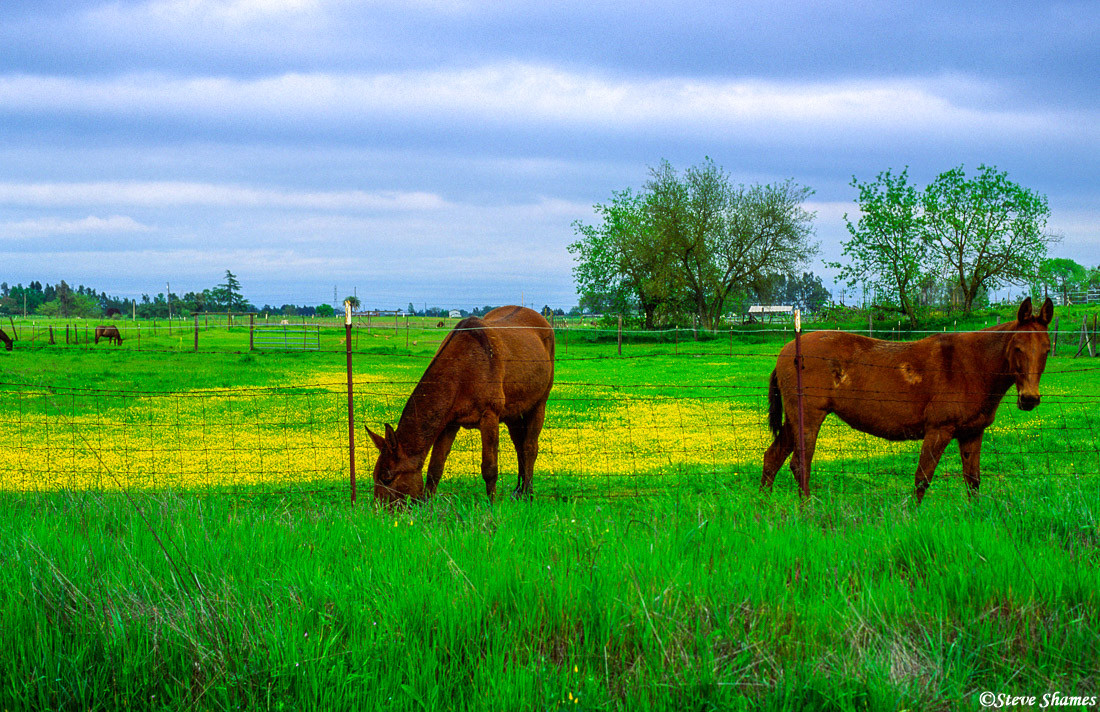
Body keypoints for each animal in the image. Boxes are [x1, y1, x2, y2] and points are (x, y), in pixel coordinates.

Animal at [367, 303, 554, 504]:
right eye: (375, 476)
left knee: (529, 447)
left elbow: (490, 468)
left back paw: (528, 493)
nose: (379, 510)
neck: (463, 369)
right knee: (519, 446)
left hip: (539, 404)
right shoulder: (450, 422)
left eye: (387, 478)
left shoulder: (490, 416)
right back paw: (518, 491)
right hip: (513, 413)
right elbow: (435, 468)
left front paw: (492, 505)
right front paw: (427, 506)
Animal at [765, 297, 1056, 504]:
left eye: (1046, 349)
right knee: (800, 464)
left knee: (772, 458)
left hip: (795, 421)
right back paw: (807, 510)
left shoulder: (971, 433)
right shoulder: (939, 430)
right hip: (808, 419)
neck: (971, 366)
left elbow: (972, 480)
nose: (1029, 399)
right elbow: (922, 478)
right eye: (1017, 347)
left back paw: (763, 506)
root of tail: (788, 350)